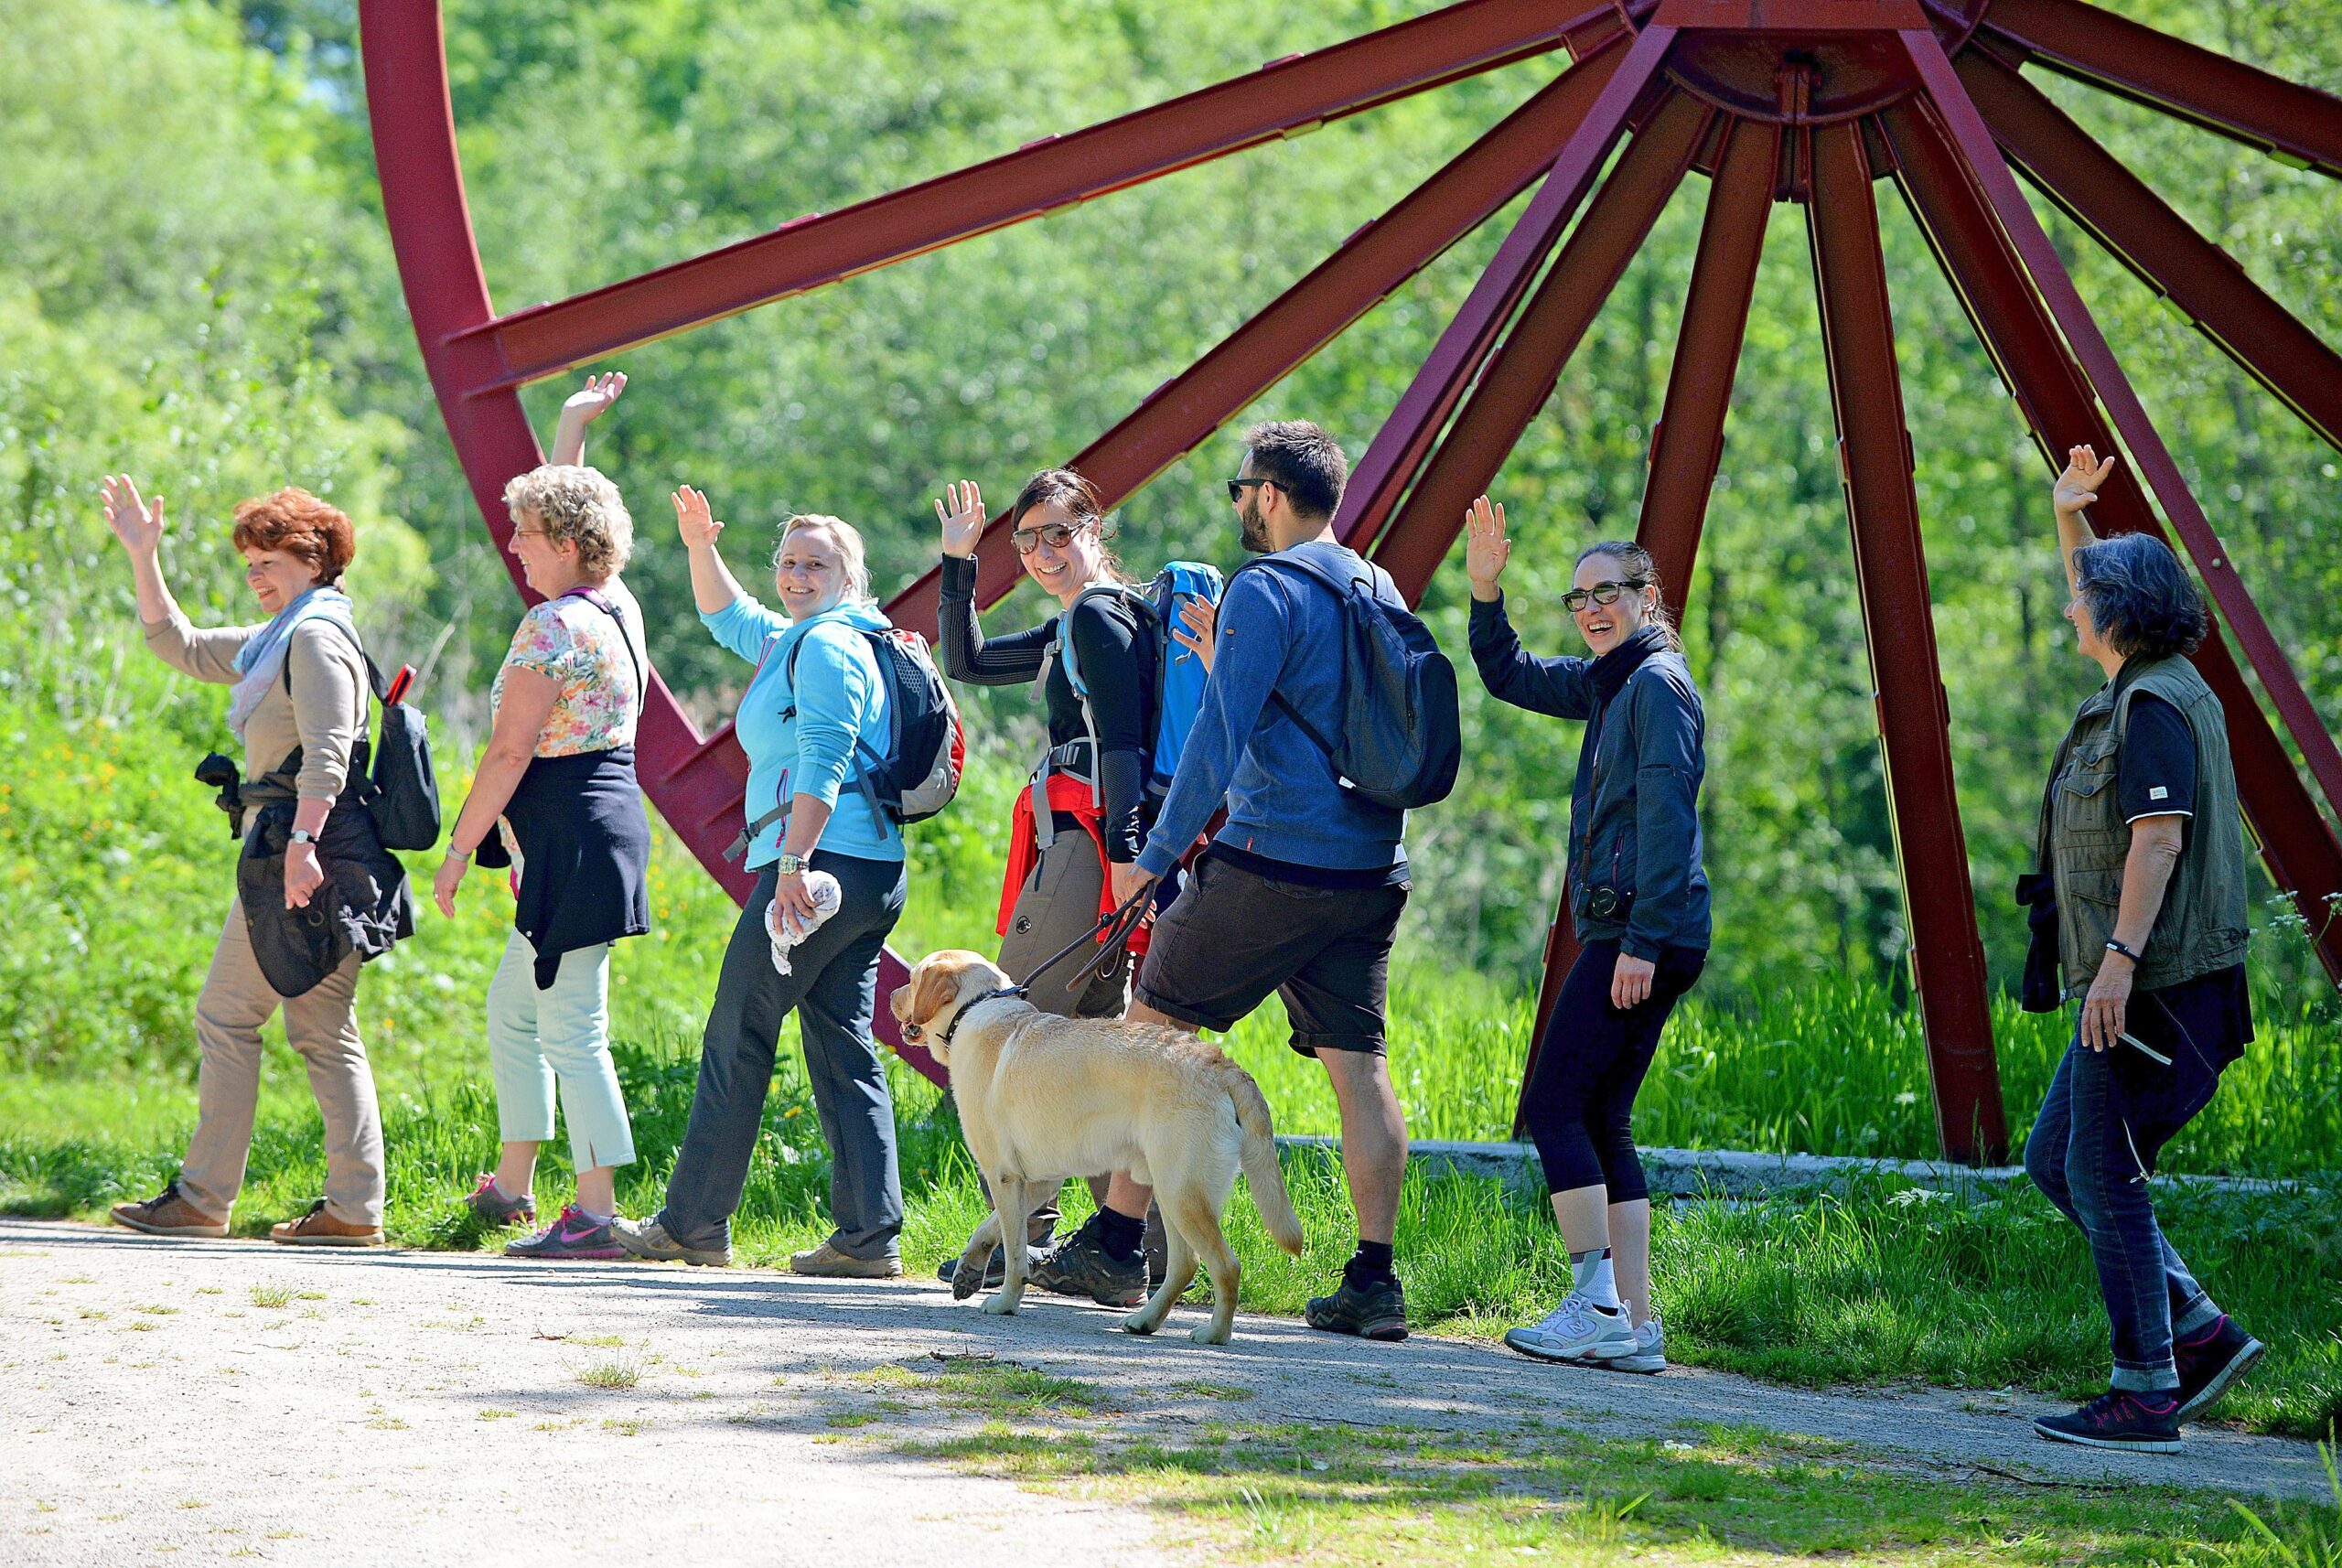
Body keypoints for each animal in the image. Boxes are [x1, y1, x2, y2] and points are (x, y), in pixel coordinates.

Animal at [889, 950, 1311, 1348]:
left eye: (913, 979)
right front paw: (970, 1269)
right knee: (1185, 1265)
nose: (891, 995)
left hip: (1182, 1194)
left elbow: (1014, 1252)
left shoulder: (1003, 1175)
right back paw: (1145, 1321)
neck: (978, 1006)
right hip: (1173, 1192)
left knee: (1226, 1266)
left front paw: (1006, 1302)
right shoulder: (1037, 1182)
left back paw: (1215, 1334)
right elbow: (989, 1228)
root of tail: (1223, 1065)